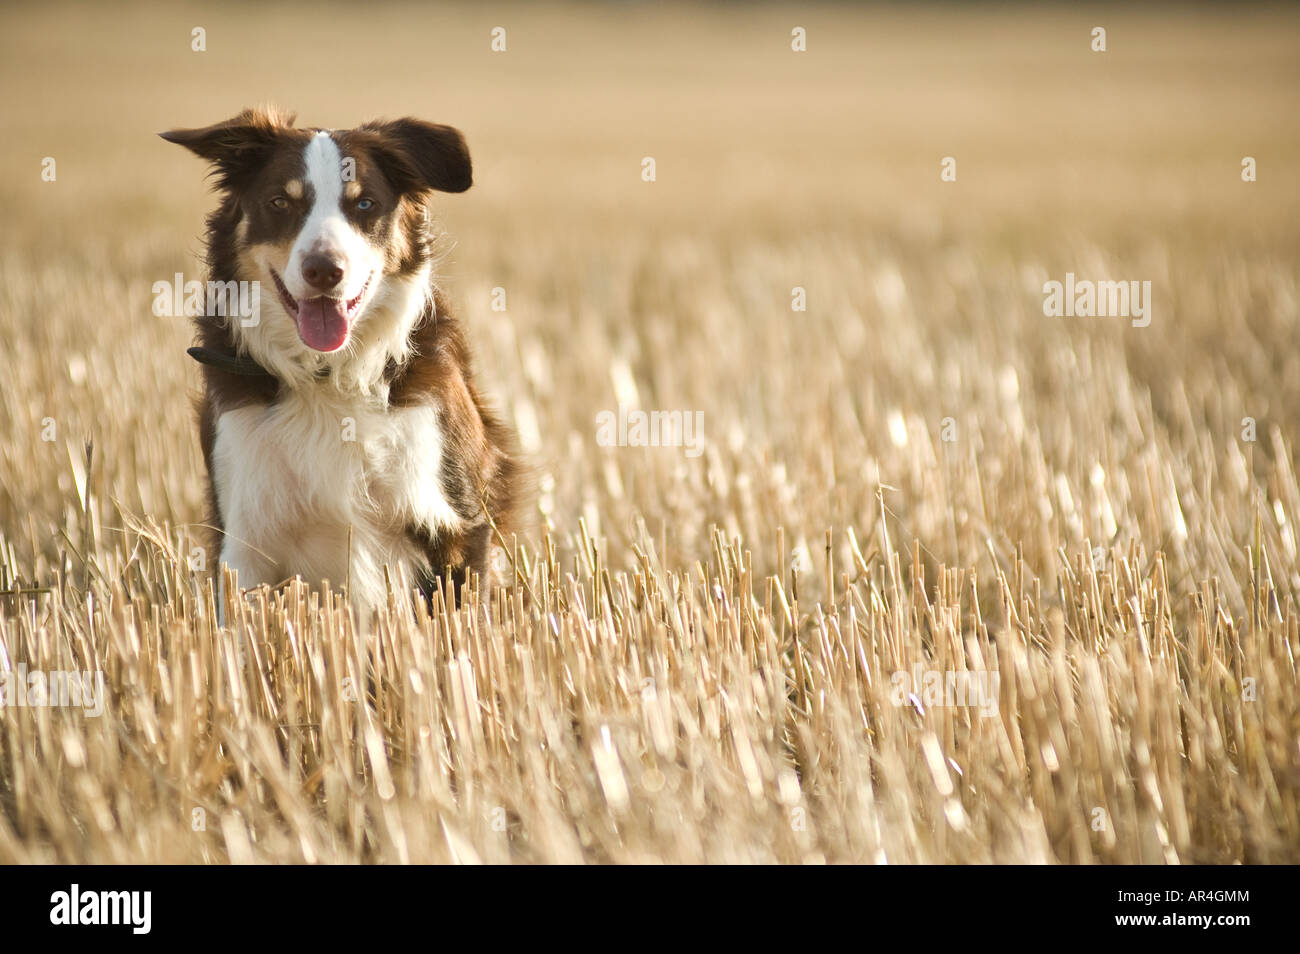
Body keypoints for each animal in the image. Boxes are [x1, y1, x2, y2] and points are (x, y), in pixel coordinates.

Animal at [163, 106, 522, 613]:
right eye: (280, 202)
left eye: (365, 204)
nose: (324, 270)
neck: (326, 374)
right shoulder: (245, 540)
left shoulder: (457, 522)